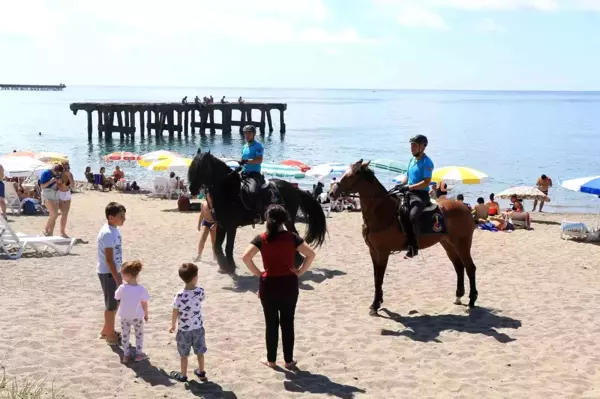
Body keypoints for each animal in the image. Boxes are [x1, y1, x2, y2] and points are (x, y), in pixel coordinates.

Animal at [189, 152, 326, 274]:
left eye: (202, 167)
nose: (191, 189)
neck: (229, 192)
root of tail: (295, 189)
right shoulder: (221, 225)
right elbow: (217, 246)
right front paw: (224, 267)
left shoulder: (231, 226)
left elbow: (228, 247)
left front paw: (231, 266)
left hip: (289, 219)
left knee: (295, 234)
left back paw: (296, 262)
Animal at [328, 159, 478, 316]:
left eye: (350, 176)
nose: (331, 193)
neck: (383, 212)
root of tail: (465, 208)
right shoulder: (373, 251)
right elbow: (376, 278)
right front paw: (378, 301)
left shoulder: (382, 252)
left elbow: (379, 278)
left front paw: (375, 305)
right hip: (448, 244)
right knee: (459, 266)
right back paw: (458, 296)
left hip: (462, 244)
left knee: (470, 268)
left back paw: (472, 300)